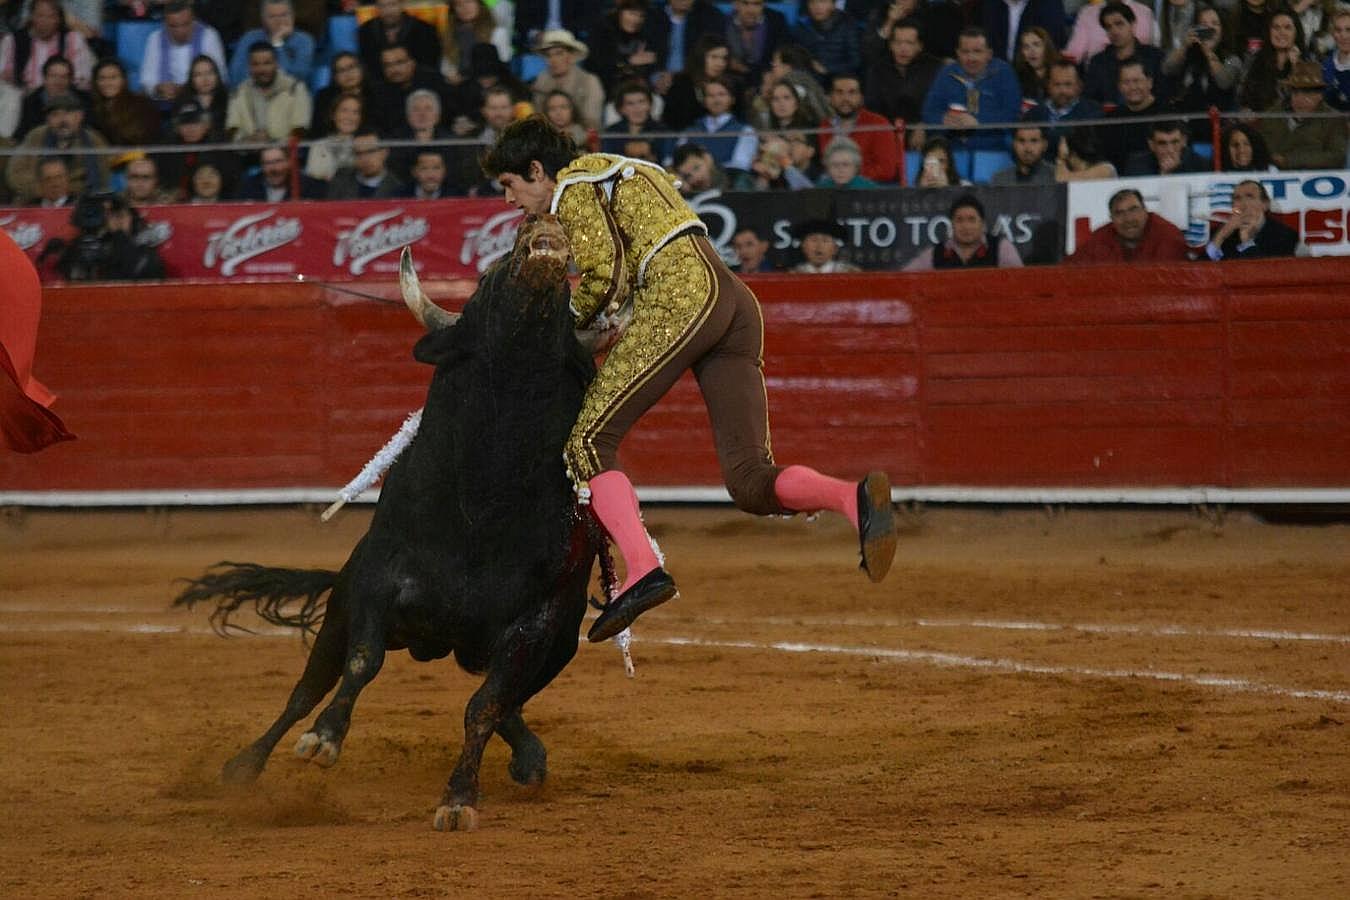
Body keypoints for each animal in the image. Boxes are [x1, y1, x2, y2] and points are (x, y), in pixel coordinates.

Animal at [172, 226, 602, 831]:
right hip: (340, 608)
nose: (539, 234)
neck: (487, 494)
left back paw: (530, 759)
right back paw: (245, 765)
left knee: (506, 701)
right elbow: (361, 663)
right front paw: (324, 740)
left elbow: (486, 705)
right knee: (305, 690)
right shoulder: (375, 587)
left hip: (550, 647)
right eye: (487, 277)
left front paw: (459, 798)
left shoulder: (539, 622)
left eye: (566, 303)